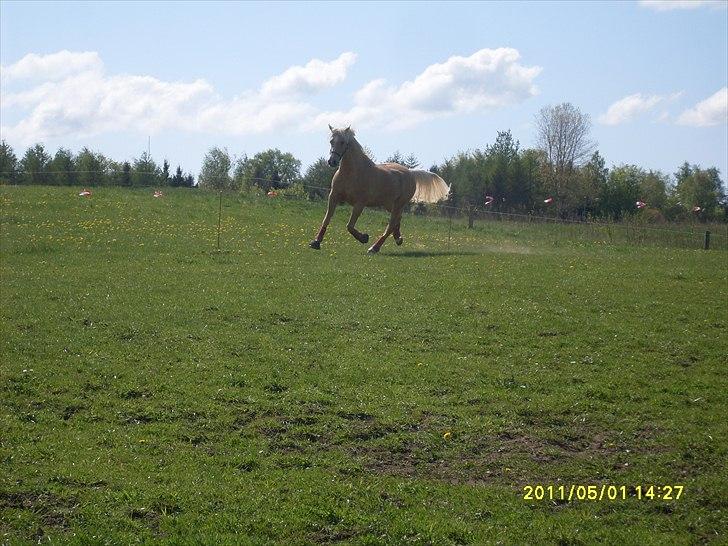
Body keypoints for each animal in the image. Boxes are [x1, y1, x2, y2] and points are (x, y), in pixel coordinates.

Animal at [308, 124, 450, 252]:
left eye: (343, 142)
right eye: (331, 141)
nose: (332, 161)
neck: (352, 173)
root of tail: (410, 173)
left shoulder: (360, 203)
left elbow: (349, 226)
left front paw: (364, 238)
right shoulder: (333, 196)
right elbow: (326, 219)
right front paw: (316, 242)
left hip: (399, 204)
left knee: (391, 224)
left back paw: (374, 247)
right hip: (389, 204)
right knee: (398, 219)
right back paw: (398, 239)